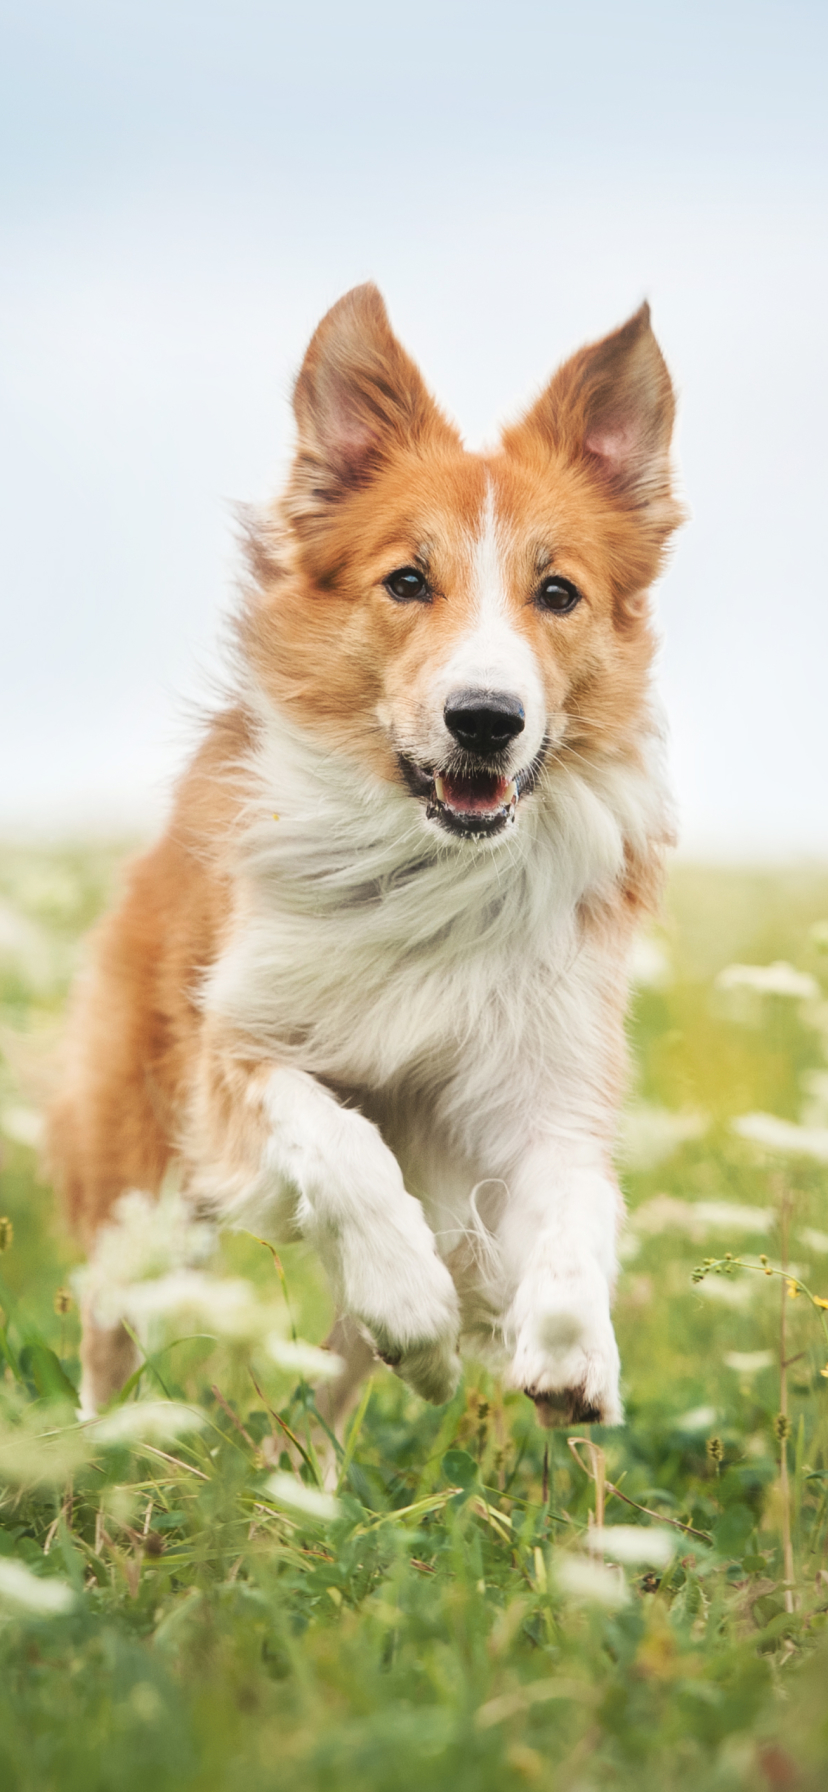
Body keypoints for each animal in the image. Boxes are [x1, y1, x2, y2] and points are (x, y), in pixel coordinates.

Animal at [46, 279, 677, 1426]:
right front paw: (415, 1297)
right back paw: (107, 1448)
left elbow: (579, 1202)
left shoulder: (542, 1082)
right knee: (113, 1336)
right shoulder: (234, 1050)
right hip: (139, 1182)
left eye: (557, 592)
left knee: (327, 1400)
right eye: (408, 580)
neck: (433, 866)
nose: (487, 720)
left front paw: (572, 1352)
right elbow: (341, 1140)